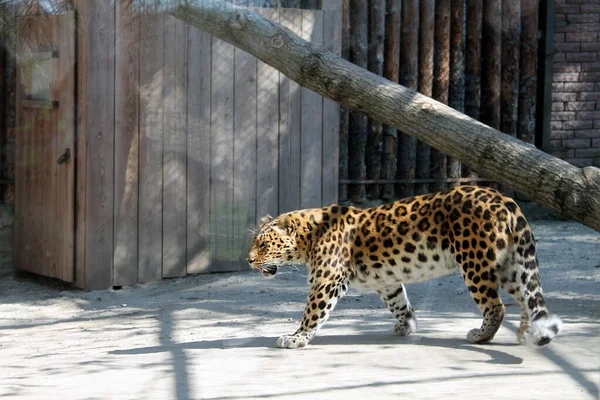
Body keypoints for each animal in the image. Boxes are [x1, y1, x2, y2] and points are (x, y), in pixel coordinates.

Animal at [245, 186, 564, 348]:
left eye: (263, 244)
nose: (248, 260)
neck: (309, 237)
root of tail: (505, 199)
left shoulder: (327, 280)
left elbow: (312, 313)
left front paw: (295, 338)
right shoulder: (385, 280)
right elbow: (398, 301)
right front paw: (406, 325)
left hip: (475, 261)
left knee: (496, 306)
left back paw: (481, 335)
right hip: (510, 264)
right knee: (526, 297)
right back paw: (526, 332)